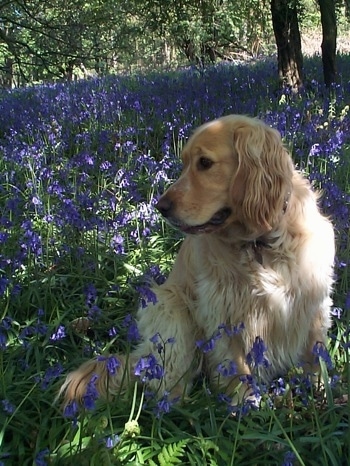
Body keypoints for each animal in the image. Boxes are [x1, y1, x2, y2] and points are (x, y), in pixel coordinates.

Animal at [58, 114, 334, 406]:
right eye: (185, 163)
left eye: (204, 163)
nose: (160, 207)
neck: (260, 241)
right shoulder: (222, 309)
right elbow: (236, 366)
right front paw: (244, 405)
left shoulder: (312, 299)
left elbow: (315, 352)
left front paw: (322, 390)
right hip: (169, 307)